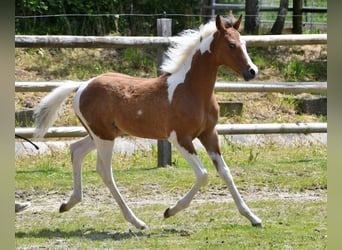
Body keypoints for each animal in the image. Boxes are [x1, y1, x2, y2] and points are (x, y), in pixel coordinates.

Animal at [32, 13, 262, 229]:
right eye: (231, 45)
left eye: (245, 43)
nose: (252, 71)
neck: (191, 90)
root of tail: (82, 85)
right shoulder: (180, 138)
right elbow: (203, 174)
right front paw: (170, 210)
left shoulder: (209, 134)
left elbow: (225, 173)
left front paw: (253, 217)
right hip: (104, 137)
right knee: (104, 171)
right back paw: (137, 221)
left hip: (102, 134)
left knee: (76, 150)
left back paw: (69, 203)